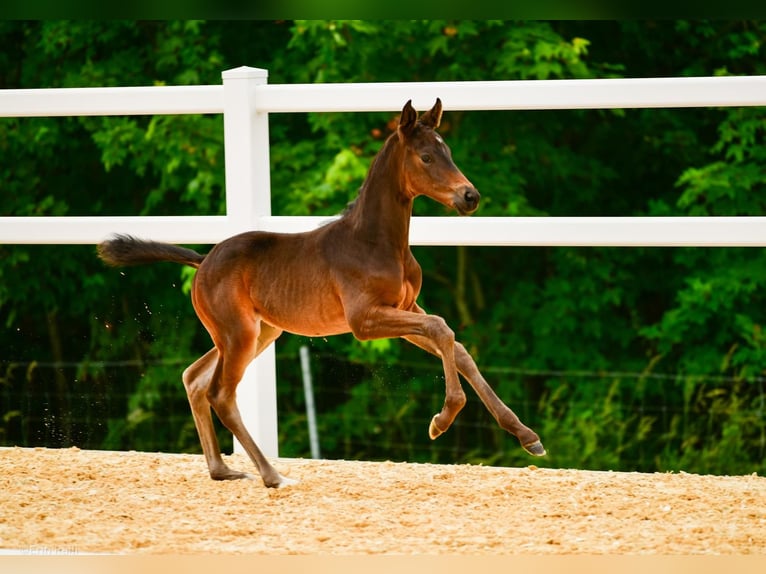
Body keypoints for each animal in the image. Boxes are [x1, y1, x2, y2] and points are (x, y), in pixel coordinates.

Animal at [99, 101, 544, 488]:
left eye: (447, 151)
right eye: (426, 157)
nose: (470, 197)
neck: (375, 241)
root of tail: (203, 259)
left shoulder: (403, 309)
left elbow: (455, 344)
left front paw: (526, 435)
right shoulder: (365, 320)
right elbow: (442, 328)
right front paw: (443, 418)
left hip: (256, 333)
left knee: (195, 378)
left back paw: (221, 469)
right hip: (239, 334)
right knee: (220, 393)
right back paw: (272, 475)